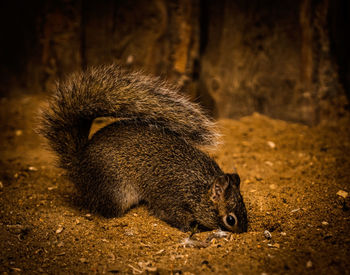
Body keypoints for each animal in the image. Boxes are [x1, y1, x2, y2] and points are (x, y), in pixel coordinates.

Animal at [39, 64, 247, 233]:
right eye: (230, 220)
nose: (244, 232)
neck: (199, 188)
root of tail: (78, 165)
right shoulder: (172, 200)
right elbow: (173, 217)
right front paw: (192, 229)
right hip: (115, 190)